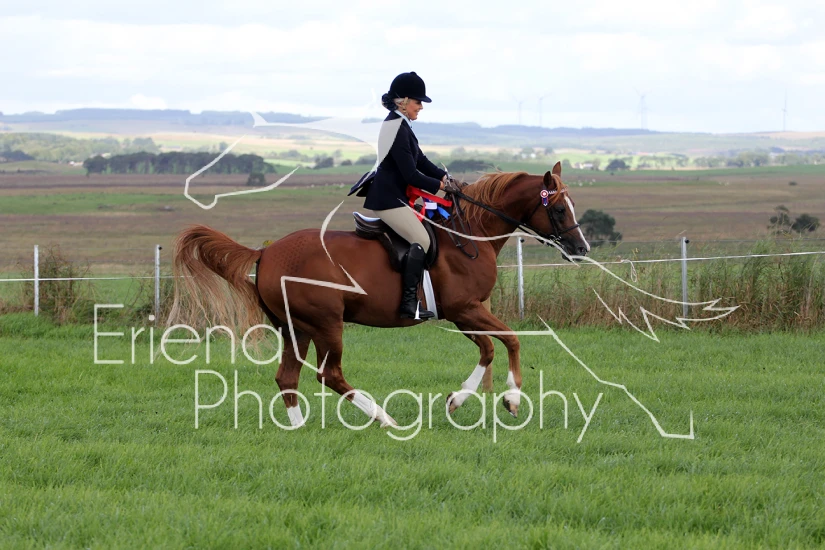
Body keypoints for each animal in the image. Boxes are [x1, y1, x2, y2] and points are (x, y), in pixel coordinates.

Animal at [169, 162, 590, 427]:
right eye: (558, 209)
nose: (581, 248)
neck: (470, 235)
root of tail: (266, 253)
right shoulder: (465, 309)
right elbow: (511, 340)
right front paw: (512, 399)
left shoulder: (462, 314)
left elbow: (489, 348)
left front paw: (457, 400)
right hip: (326, 323)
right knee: (329, 374)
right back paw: (384, 418)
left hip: (296, 327)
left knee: (288, 377)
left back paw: (299, 428)